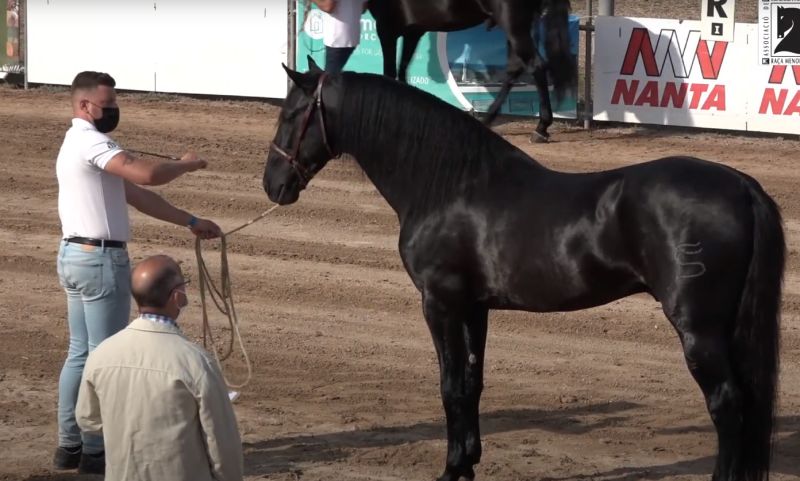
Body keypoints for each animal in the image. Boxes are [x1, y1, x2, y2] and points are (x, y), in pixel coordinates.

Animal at [263, 61, 785, 481]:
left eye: (290, 115)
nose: (272, 185)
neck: (450, 186)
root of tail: (741, 185)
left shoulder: (440, 304)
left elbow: (449, 385)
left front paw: (450, 469)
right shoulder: (474, 308)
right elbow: (471, 384)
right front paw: (467, 463)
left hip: (698, 328)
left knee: (726, 404)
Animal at [367, 0, 576, 143]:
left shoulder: (387, 29)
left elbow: (390, 74)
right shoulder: (412, 31)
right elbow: (402, 74)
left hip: (514, 26)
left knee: (536, 66)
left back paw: (541, 128)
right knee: (515, 70)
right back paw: (488, 118)